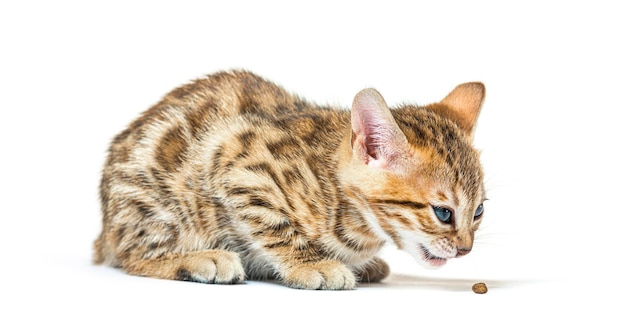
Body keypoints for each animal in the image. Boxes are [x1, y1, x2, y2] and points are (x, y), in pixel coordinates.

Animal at [92, 70, 486, 290]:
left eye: (479, 211)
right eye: (443, 213)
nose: (466, 249)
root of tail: (106, 228)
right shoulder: (236, 160)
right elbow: (276, 226)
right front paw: (311, 265)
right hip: (159, 208)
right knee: (130, 255)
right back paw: (201, 259)